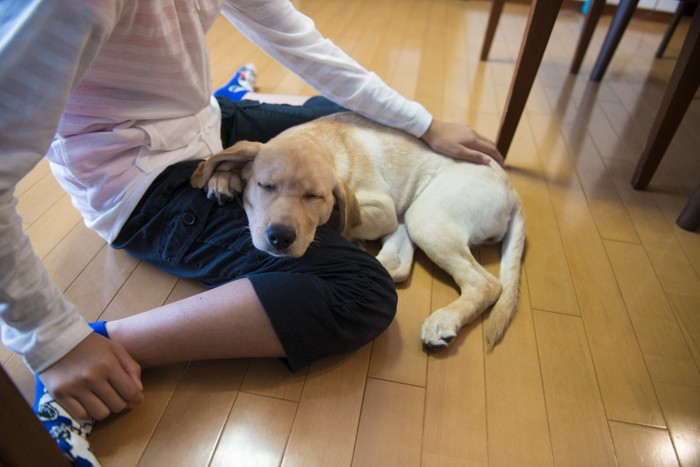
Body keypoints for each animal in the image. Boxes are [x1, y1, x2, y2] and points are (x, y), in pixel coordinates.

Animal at [191, 113, 524, 352]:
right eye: (266, 186)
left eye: (314, 196)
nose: (281, 237)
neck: (319, 143)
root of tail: (513, 191)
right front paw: (222, 177)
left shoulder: (381, 206)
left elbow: (340, 216)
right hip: (416, 214)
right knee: (399, 263)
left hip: (427, 216)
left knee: (486, 284)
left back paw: (444, 320)